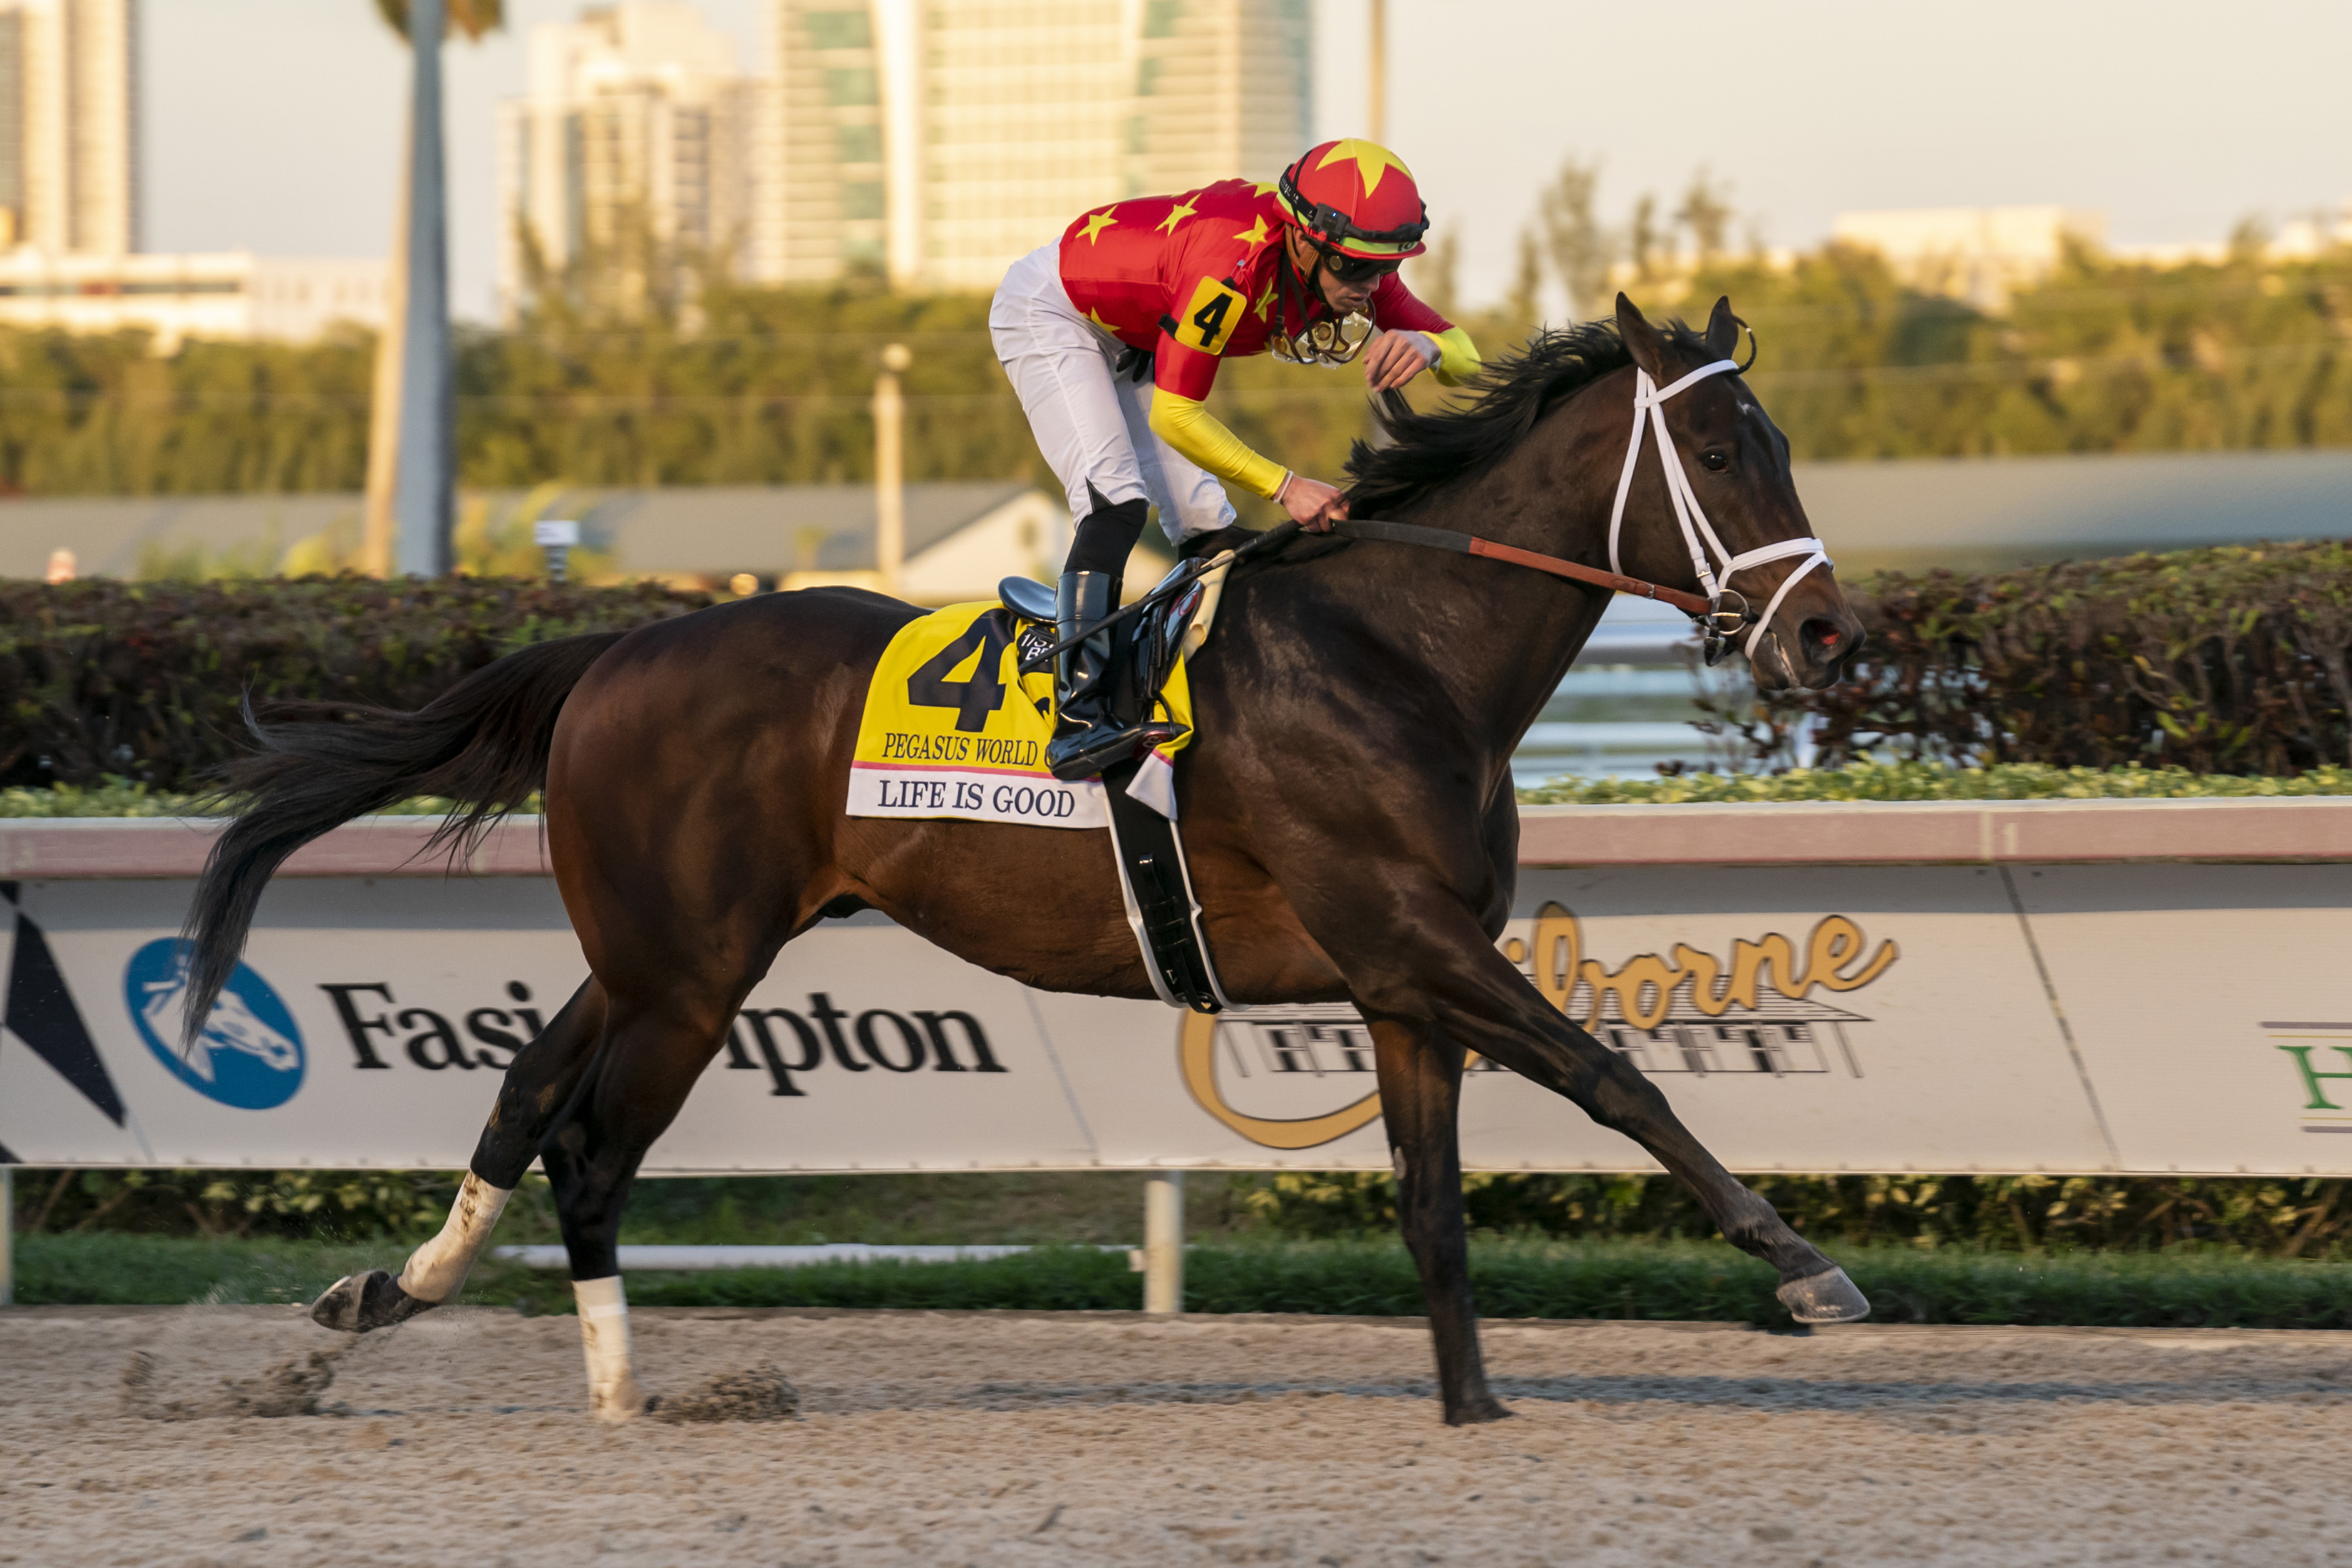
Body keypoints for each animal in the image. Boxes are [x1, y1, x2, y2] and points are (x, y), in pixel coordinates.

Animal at [178, 288, 1872, 1429]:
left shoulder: (1402, 980)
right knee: (594, 1147)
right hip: (689, 976)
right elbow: (1618, 1078)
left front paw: (1472, 1406)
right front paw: (1804, 1267)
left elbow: (1434, 1203)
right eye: (1716, 447)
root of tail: (615, 648)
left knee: (528, 1090)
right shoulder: (1411, 937)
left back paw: (390, 1289)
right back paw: (620, 1388)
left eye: (1782, 439)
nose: (1827, 637)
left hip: (659, 951)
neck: (1400, 648)